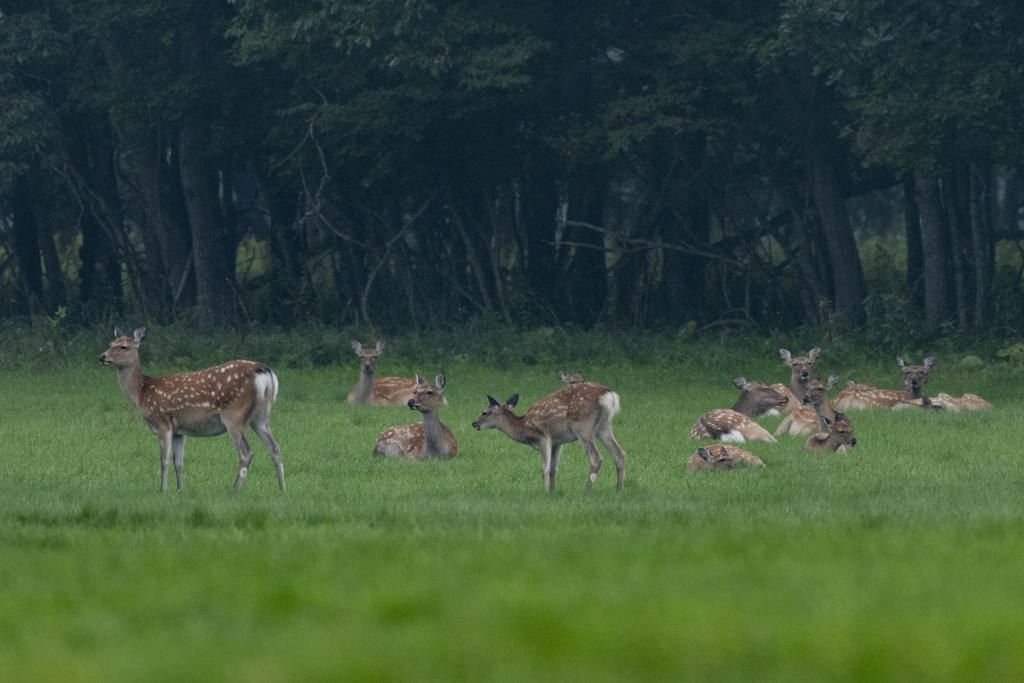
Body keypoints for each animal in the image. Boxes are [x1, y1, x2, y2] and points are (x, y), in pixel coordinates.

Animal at [96, 325, 284, 491]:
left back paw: (235, 490)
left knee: (246, 453)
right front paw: (180, 490)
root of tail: (266, 373)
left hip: (234, 414)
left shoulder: (162, 421)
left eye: (123, 346)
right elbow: (178, 462)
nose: (102, 356)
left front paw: (163, 490)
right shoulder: (179, 431)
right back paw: (282, 489)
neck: (141, 392)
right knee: (275, 448)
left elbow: (164, 460)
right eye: (110, 343)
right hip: (261, 416)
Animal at [468, 385, 622, 491]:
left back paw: (587, 491)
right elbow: (553, 468)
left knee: (596, 458)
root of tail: (609, 395)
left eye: (484, 412)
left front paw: (546, 491)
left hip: (583, 426)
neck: (523, 427)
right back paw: (619, 490)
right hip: (604, 426)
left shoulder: (542, 437)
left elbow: (544, 468)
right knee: (619, 453)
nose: (474, 423)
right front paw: (553, 491)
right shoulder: (557, 442)